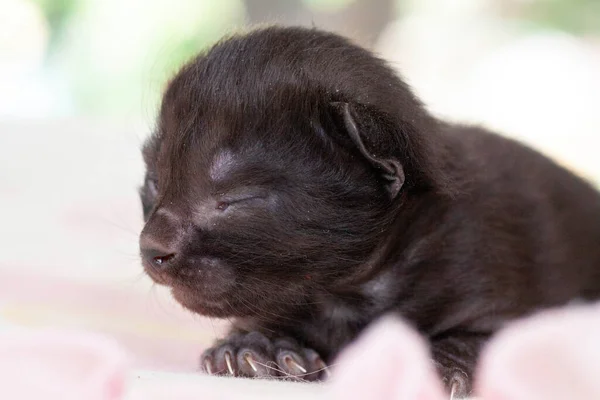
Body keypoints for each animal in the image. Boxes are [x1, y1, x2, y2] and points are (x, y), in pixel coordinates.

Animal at [138, 25, 600, 396]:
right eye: (154, 183)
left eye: (237, 198)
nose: (151, 247)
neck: (346, 292)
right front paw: (252, 345)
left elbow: (482, 340)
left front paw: (432, 364)